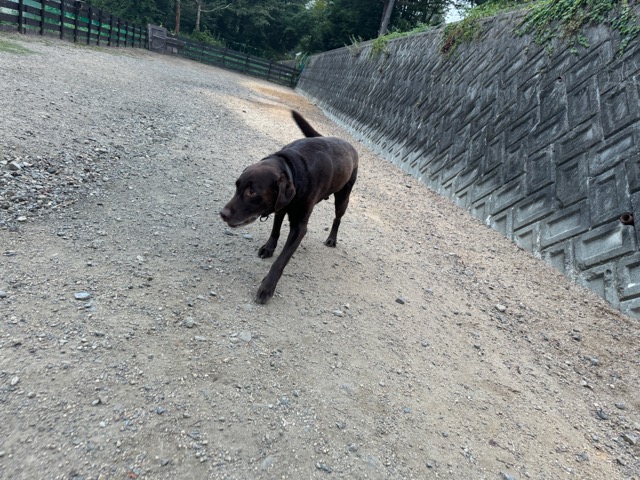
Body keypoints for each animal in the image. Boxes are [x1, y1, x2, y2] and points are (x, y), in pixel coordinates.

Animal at [220, 110, 358, 304]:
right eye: (237, 186)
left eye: (252, 192)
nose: (222, 214)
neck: (293, 170)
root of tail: (348, 144)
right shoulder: (281, 207)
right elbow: (275, 230)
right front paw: (269, 248)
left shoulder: (299, 228)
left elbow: (281, 261)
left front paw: (267, 287)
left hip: (343, 197)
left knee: (337, 218)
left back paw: (332, 239)